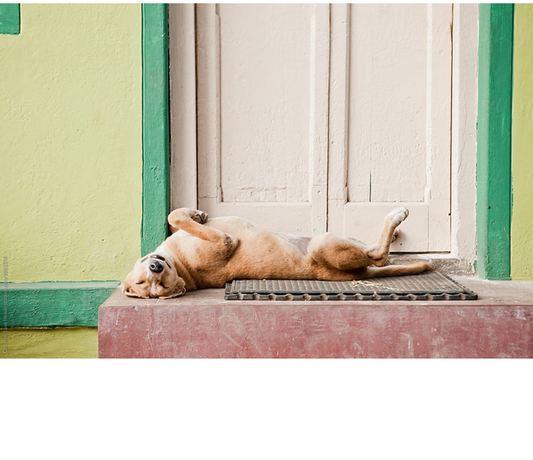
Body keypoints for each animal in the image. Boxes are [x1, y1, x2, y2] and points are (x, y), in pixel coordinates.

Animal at [120, 208, 432, 300]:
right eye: (153, 287)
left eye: (141, 283)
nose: (156, 269)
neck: (180, 266)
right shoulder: (225, 243)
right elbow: (183, 220)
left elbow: (175, 216)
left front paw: (196, 213)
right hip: (323, 243)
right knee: (377, 254)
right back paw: (395, 219)